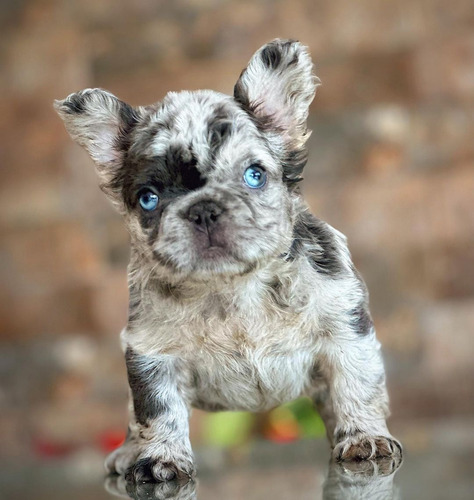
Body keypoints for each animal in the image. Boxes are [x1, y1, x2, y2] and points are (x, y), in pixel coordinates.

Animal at [56, 37, 404, 482]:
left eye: (254, 175)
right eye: (149, 198)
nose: (203, 209)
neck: (233, 286)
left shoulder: (344, 329)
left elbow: (356, 386)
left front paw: (363, 437)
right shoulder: (151, 353)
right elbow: (158, 409)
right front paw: (161, 457)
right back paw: (128, 452)